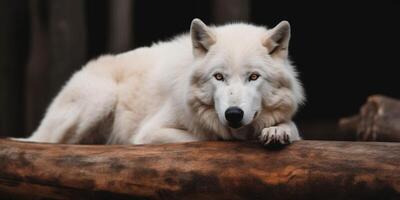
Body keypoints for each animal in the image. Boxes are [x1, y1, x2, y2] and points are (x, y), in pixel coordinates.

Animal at [20, 19, 304, 145]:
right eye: (219, 76)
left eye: (254, 76)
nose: (233, 114)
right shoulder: (150, 133)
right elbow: (201, 138)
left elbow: (293, 129)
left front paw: (277, 131)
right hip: (101, 98)